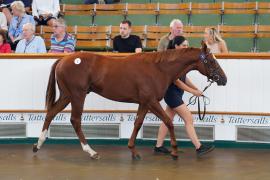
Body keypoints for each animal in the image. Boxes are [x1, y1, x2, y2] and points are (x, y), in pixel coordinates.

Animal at [32, 42, 227, 160]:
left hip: (67, 95)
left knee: (51, 112)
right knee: (75, 120)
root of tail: (64, 59)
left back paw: (38, 145)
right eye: (211, 61)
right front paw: (174, 151)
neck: (158, 69)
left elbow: (138, 123)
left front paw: (133, 150)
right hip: (77, 95)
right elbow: (168, 122)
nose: (224, 79)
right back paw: (91, 152)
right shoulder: (151, 101)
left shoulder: (144, 103)